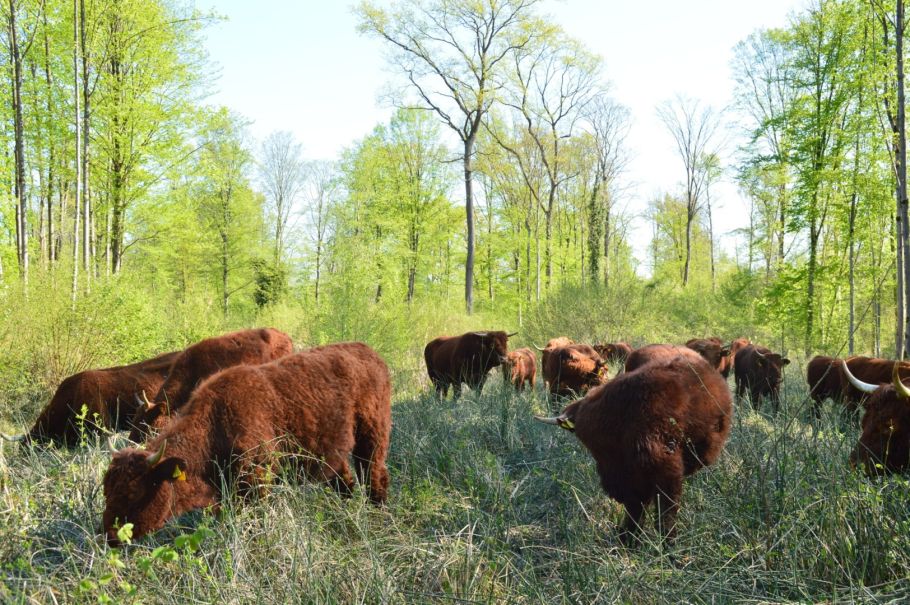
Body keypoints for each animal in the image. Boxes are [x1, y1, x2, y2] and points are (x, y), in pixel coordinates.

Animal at [102, 342, 391, 545]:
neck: (215, 421)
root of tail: (370, 353)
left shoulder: (256, 483)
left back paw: (379, 516)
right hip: (334, 453)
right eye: (106, 489)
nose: (109, 537)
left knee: (374, 474)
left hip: (372, 437)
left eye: (132, 492)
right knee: (346, 481)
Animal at [535, 352, 732, 543]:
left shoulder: (666, 472)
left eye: (607, 448)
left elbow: (665, 511)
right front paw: (628, 539)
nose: (614, 490)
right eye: (593, 448)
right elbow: (636, 508)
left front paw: (668, 544)